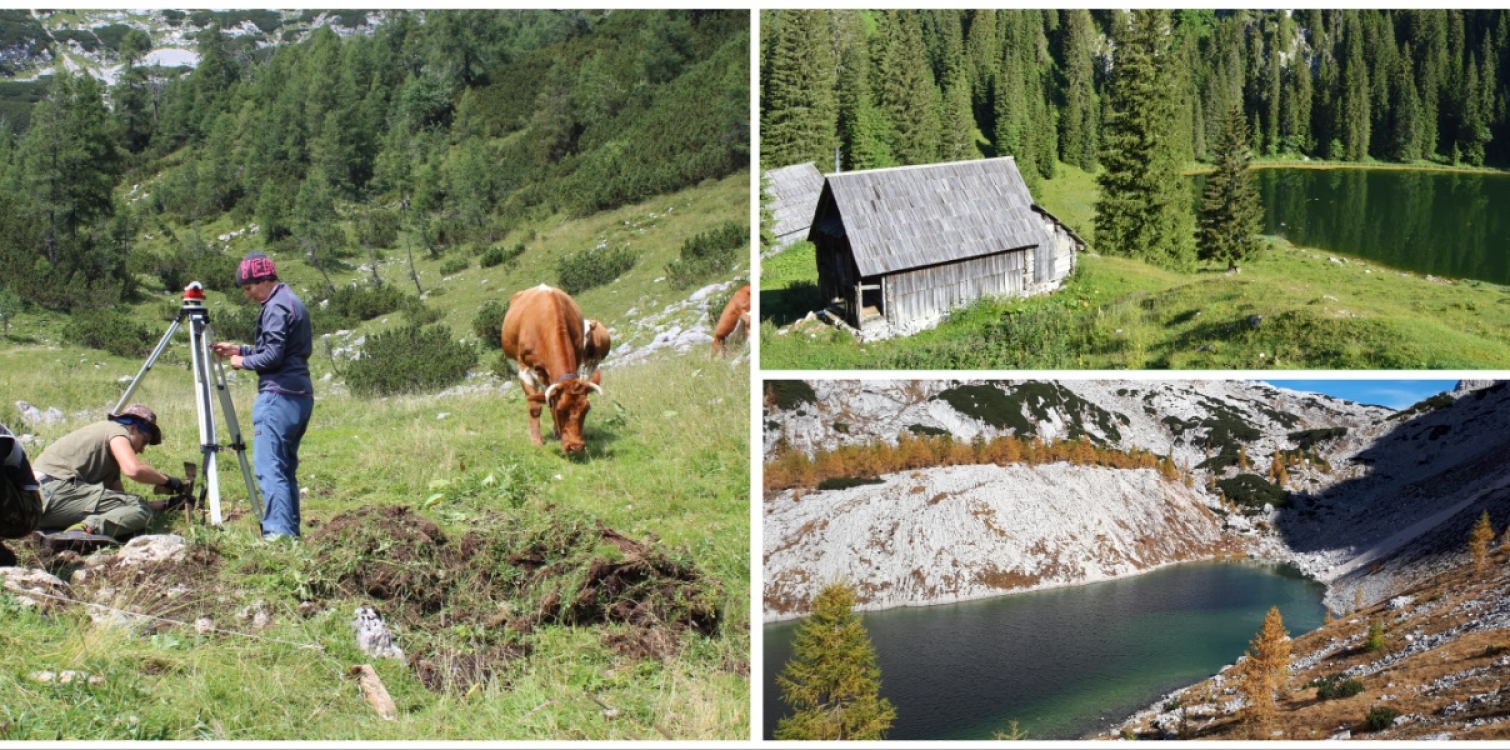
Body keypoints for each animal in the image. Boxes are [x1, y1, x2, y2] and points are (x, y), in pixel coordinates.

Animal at [504, 285, 604, 449]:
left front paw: (557, 434)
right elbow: (536, 406)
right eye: (560, 410)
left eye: (586, 410)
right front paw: (536, 440)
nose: (576, 447)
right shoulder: (525, 369)